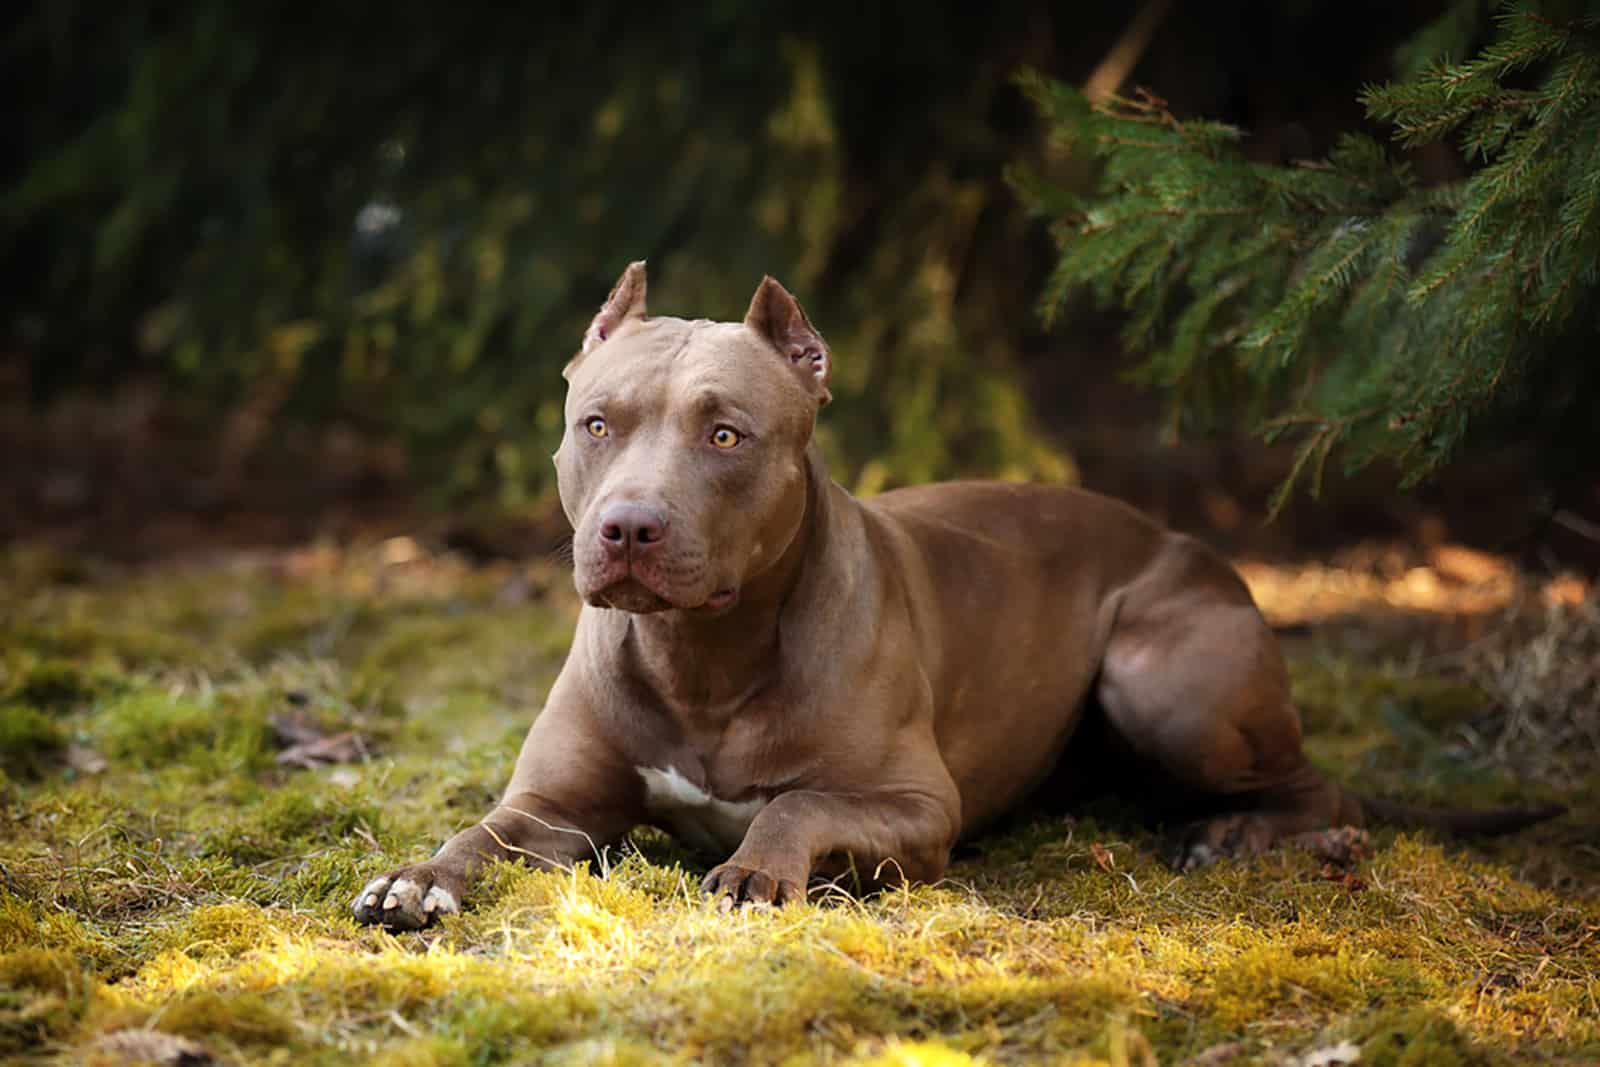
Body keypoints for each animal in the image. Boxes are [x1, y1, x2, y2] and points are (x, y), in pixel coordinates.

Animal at [353, 262, 1561, 927]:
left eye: (726, 434)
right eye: (595, 422)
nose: (629, 528)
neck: (705, 658)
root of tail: (1181, 536)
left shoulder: (913, 805)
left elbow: (797, 802)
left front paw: (755, 872)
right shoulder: (552, 807)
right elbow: (478, 833)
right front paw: (415, 880)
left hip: (1162, 674)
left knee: (1323, 789)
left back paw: (1249, 837)